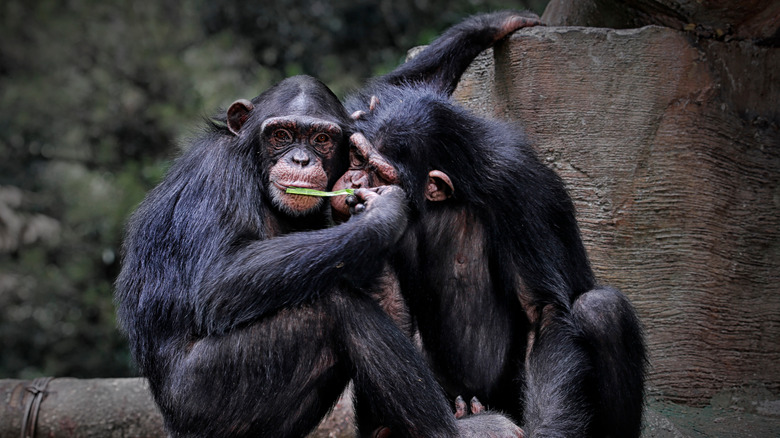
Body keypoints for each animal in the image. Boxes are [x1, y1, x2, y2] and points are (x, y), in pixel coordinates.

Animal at [112, 73, 524, 436]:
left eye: (321, 138)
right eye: (281, 135)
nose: (300, 160)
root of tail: (171, 419)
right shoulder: (218, 174)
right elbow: (217, 277)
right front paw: (382, 215)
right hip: (205, 396)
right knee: (337, 308)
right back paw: (460, 430)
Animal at [334, 12, 644, 436]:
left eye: (379, 172)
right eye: (355, 156)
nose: (354, 181)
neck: (454, 190)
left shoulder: (522, 193)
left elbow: (543, 309)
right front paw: (492, 25)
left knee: (603, 310)